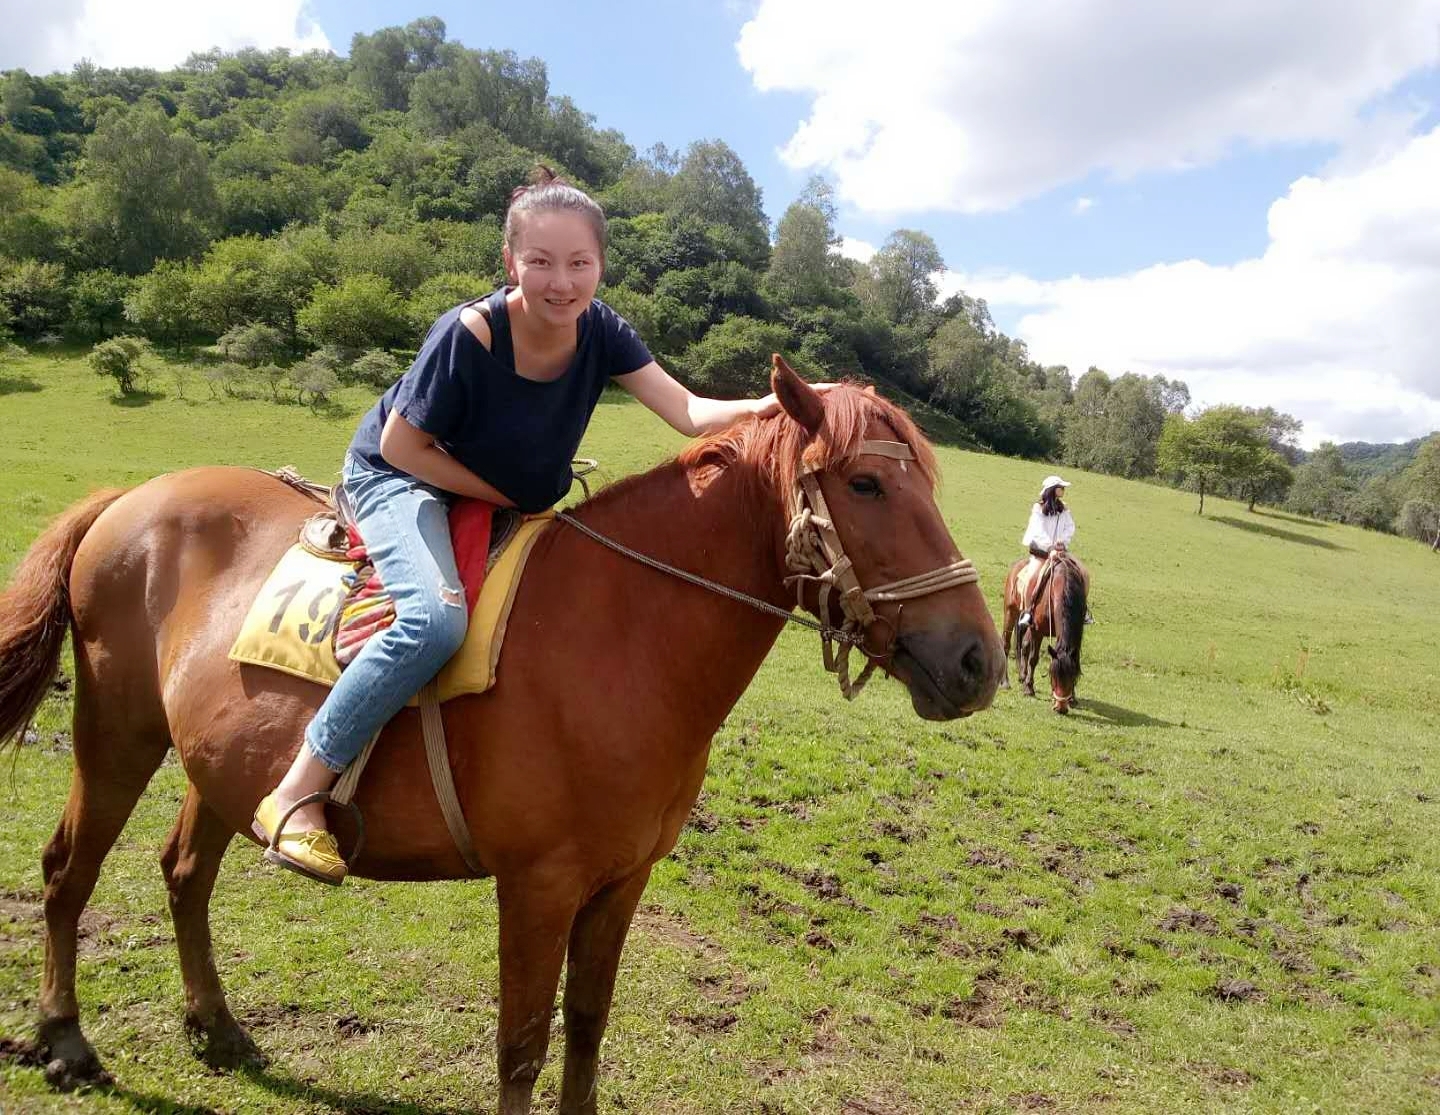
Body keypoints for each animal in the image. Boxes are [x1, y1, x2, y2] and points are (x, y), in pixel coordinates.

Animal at [0, 364, 1002, 1115]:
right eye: (866, 483)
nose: (978, 660)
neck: (623, 631)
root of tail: (131, 499)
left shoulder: (621, 881)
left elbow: (587, 1023)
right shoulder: (539, 885)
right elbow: (521, 1045)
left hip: (221, 766)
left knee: (183, 873)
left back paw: (214, 1025)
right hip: (117, 733)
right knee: (67, 870)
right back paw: (64, 1038)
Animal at [1002, 553, 1088, 717]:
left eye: (1071, 677)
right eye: (1053, 677)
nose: (1060, 708)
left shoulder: (1078, 635)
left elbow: (1076, 662)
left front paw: (1072, 698)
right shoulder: (1038, 631)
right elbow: (1033, 659)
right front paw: (1029, 688)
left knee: (1023, 645)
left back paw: (1022, 676)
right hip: (1011, 612)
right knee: (1006, 645)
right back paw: (1005, 682)